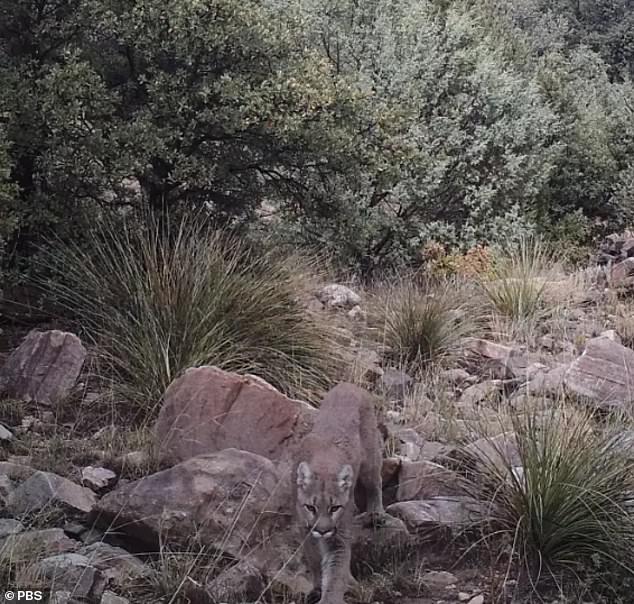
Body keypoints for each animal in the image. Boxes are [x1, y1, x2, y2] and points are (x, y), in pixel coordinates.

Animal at [292, 384, 386, 600]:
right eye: (311, 507)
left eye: (335, 508)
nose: (323, 530)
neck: (324, 465)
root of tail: (349, 385)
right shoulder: (304, 527)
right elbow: (314, 558)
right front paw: (317, 586)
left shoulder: (338, 535)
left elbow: (335, 570)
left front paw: (330, 595)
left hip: (370, 459)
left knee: (375, 482)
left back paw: (376, 513)